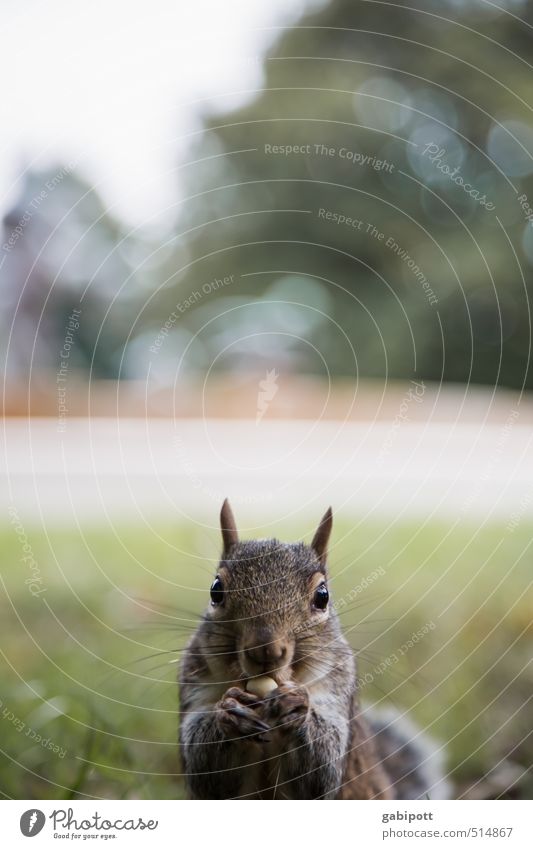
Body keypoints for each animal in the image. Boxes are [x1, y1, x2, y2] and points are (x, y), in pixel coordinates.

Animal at [179, 500, 448, 800]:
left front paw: (297, 707)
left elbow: (321, 772)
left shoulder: (338, 688)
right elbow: (206, 770)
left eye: (323, 596)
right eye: (216, 590)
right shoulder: (196, 684)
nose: (265, 651)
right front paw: (231, 711)